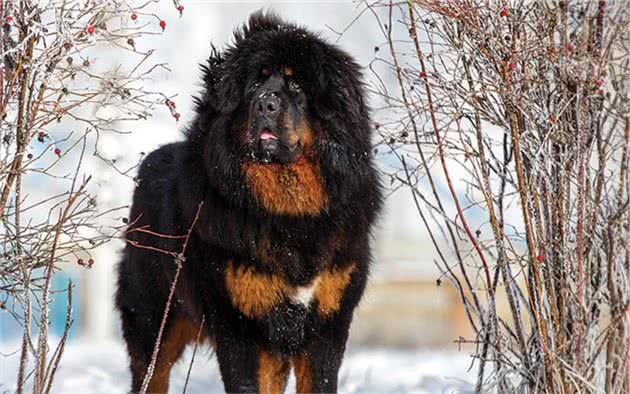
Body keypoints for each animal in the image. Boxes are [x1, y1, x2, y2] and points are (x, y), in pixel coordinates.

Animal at [116, 12, 386, 394]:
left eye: (296, 85)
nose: (265, 103)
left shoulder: (327, 325)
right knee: (151, 375)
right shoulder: (238, 324)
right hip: (154, 322)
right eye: (253, 86)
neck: (289, 214)